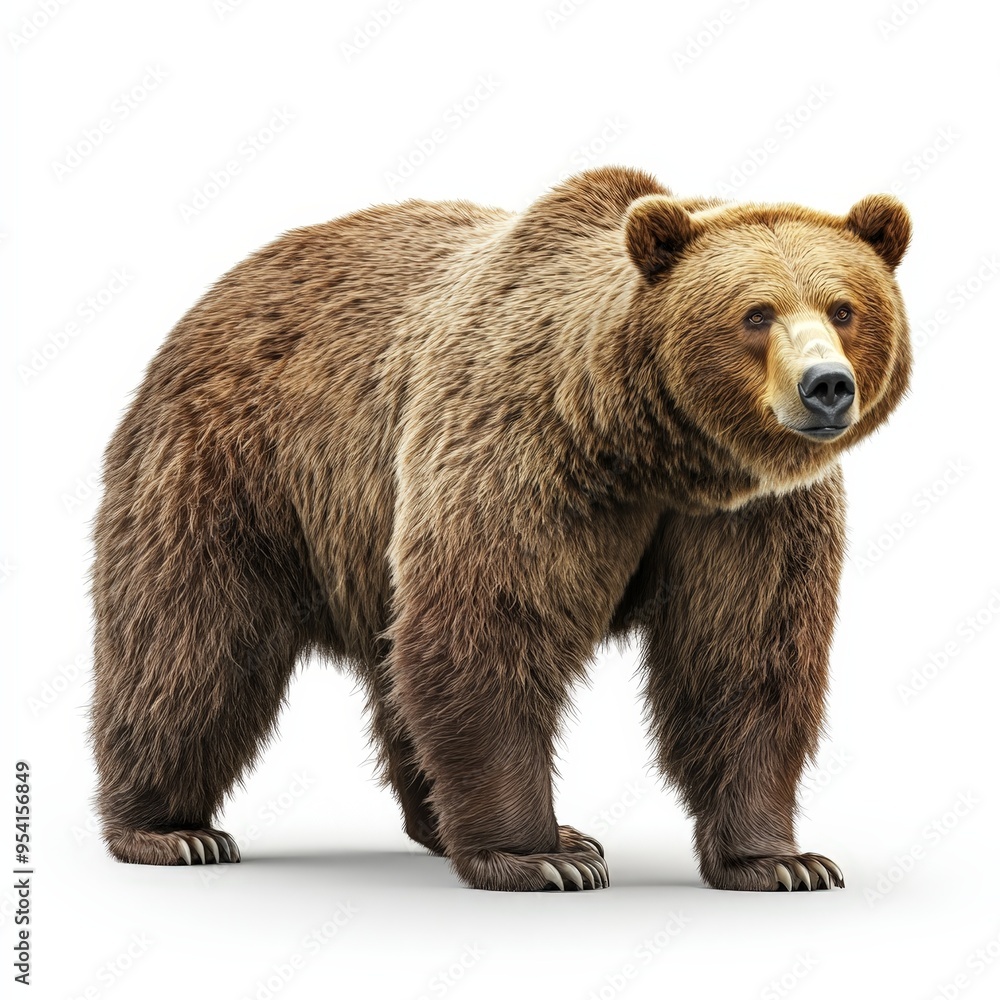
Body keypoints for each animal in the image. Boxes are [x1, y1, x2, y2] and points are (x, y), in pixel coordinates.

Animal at [90, 166, 911, 892]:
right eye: (756, 313)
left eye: (844, 307)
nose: (826, 386)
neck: (655, 451)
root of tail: (214, 293)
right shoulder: (523, 447)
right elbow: (490, 624)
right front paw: (541, 857)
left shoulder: (752, 515)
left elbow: (746, 657)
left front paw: (783, 861)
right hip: (235, 466)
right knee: (190, 642)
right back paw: (170, 831)